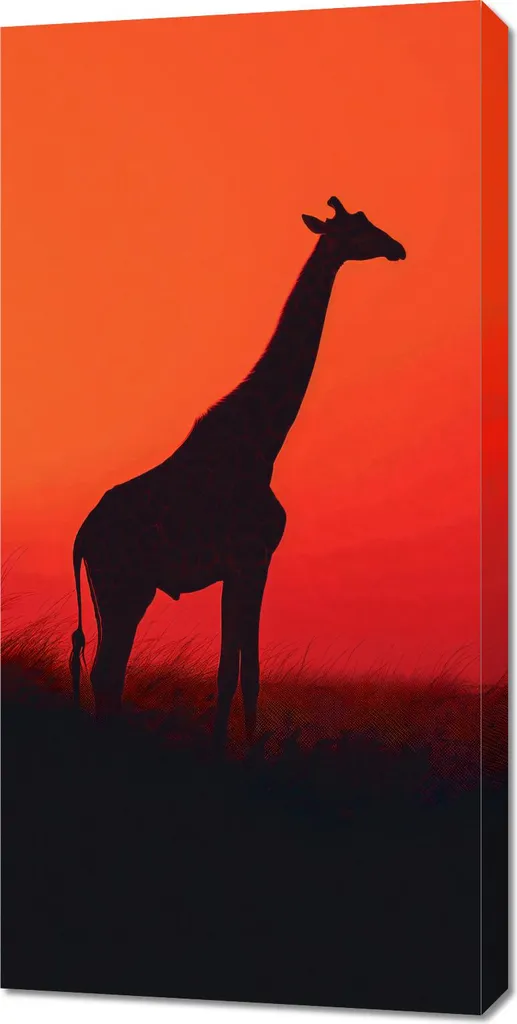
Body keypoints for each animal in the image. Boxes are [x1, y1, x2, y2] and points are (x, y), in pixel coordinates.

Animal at [70, 196, 405, 743]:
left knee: (106, 674)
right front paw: (232, 754)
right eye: (359, 229)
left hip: (112, 591)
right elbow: (237, 673)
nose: (397, 247)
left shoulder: (243, 566)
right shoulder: (252, 558)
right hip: (125, 587)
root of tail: (81, 537)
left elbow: (245, 671)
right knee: (105, 673)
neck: (264, 443)